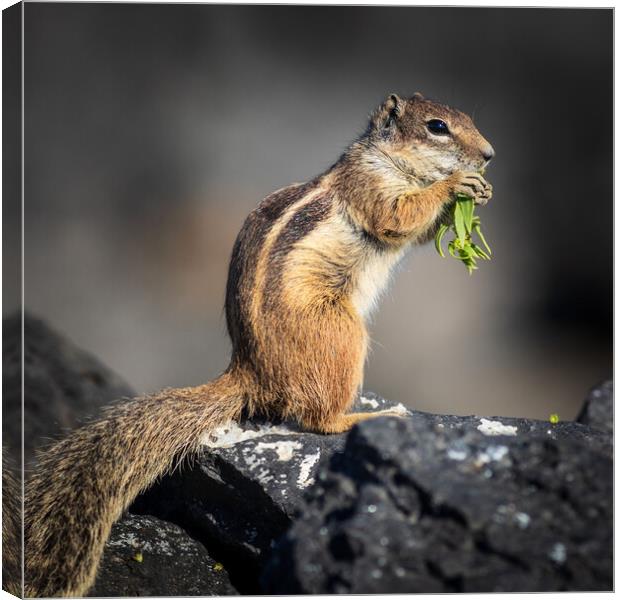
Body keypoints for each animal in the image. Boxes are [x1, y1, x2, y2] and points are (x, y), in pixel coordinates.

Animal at [7, 92, 494, 596]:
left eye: (466, 118)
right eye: (437, 126)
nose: (489, 155)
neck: (388, 159)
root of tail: (250, 372)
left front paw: (481, 192)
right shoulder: (371, 187)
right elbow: (397, 217)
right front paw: (457, 184)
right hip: (340, 332)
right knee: (318, 420)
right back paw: (368, 416)